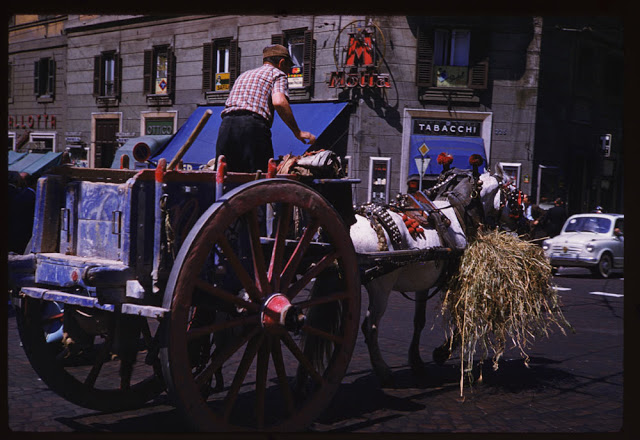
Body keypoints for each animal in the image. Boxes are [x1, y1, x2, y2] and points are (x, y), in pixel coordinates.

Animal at [348, 165, 512, 384]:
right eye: (510, 192)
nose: (522, 220)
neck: (459, 210)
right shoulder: (457, 279)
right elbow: (461, 317)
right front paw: (442, 352)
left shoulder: (423, 284)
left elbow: (419, 321)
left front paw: (416, 361)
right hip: (381, 287)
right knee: (370, 326)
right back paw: (382, 370)